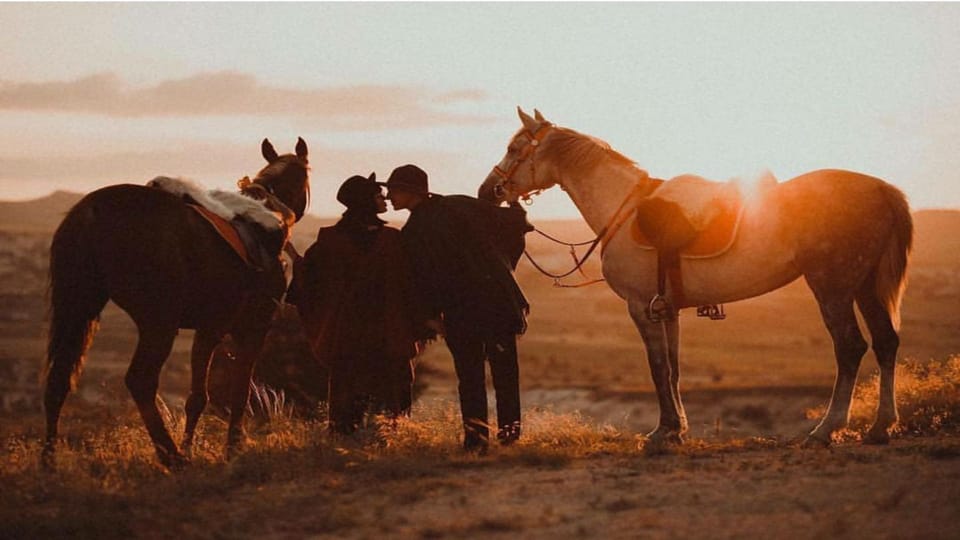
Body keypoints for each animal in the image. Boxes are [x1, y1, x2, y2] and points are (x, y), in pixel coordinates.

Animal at [44, 137, 308, 466]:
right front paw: (230, 447)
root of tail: (89, 213)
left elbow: (200, 398)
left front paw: (197, 445)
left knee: (58, 379)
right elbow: (233, 392)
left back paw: (49, 460)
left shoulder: (212, 329)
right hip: (159, 322)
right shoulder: (246, 328)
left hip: (79, 310)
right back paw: (171, 456)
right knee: (140, 380)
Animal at [480, 106, 916, 448]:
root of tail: (881, 189)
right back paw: (881, 427)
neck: (622, 209)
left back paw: (826, 430)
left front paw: (662, 433)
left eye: (515, 149)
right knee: (886, 343)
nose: (488, 191)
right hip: (865, 287)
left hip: (832, 287)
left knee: (850, 348)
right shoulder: (667, 309)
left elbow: (658, 368)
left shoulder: (641, 307)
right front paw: (677, 430)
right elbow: (673, 369)